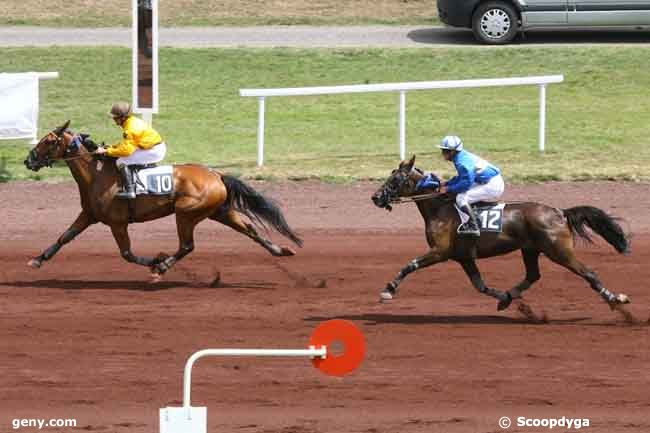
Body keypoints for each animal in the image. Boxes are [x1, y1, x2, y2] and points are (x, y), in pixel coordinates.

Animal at [22, 120, 302, 280]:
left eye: (49, 141)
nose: (28, 160)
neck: (98, 174)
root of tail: (216, 174)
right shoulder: (89, 215)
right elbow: (65, 237)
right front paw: (38, 259)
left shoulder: (116, 222)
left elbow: (127, 253)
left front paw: (155, 261)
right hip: (220, 211)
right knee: (250, 229)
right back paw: (280, 250)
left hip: (186, 213)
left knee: (187, 246)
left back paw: (163, 266)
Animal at [372, 155, 632, 310]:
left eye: (395, 179)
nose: (375, 197)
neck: (440, 208)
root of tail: (560, 212)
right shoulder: (464, 257)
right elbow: (480, 286)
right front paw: (503, 298)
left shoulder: (439, 252)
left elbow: (410, 265)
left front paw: (388, 289)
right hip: (530, 249)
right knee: (533, 275)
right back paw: (511, 295)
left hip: (559, 251)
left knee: (589, 273)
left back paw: (616, 299)